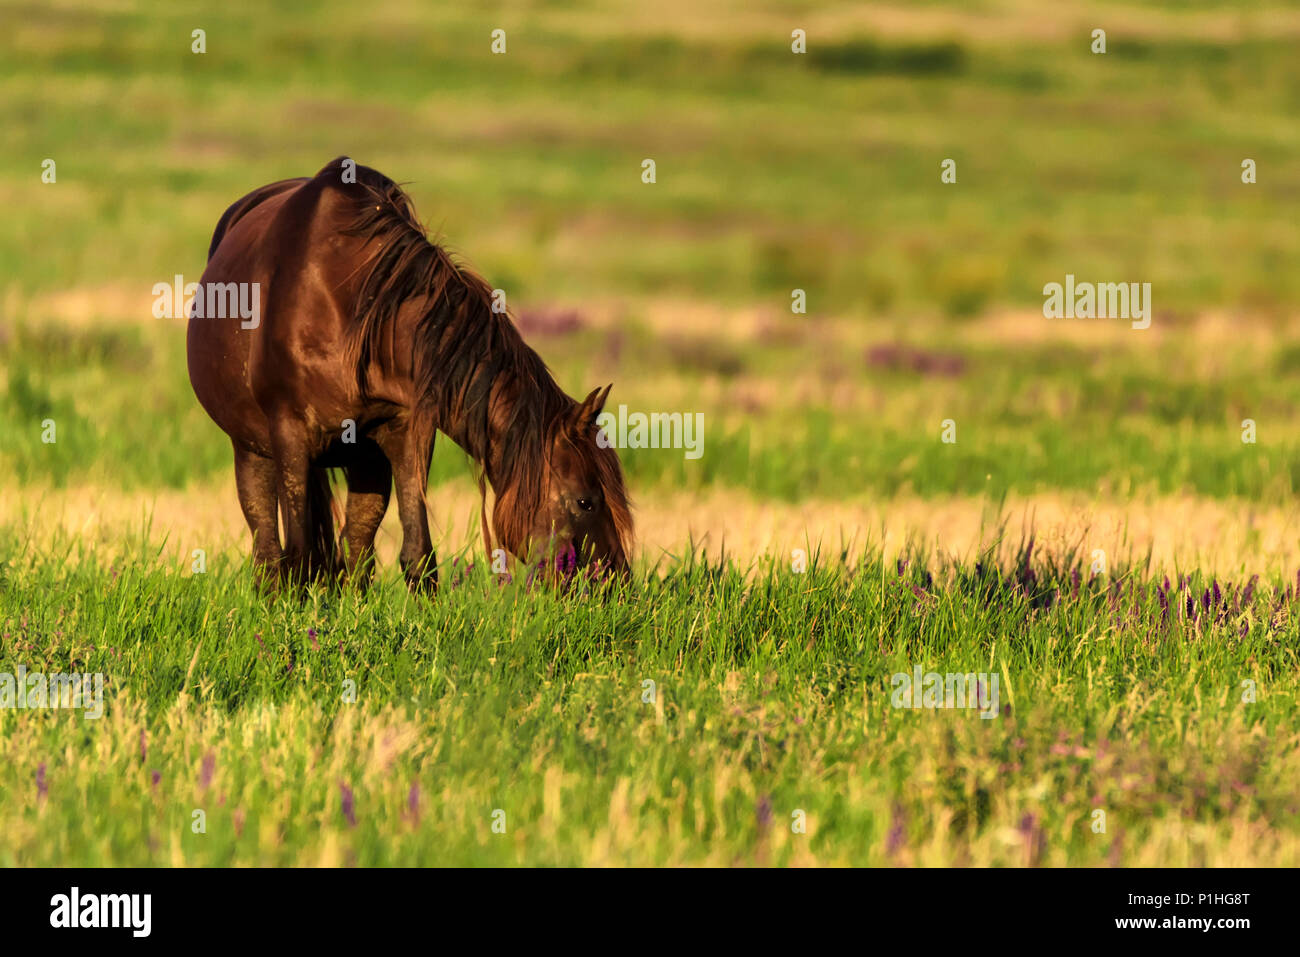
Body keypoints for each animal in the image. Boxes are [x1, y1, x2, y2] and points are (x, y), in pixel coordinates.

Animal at [189, 157, 634, 590]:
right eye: (585, 501)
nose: (616, 585)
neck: (350, 313)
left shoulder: (407, 432)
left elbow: (417, 554)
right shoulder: (290, 436)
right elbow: (298, 557)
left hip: (364, 457)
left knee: (356, 543)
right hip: (252, 449)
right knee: (268, 549)